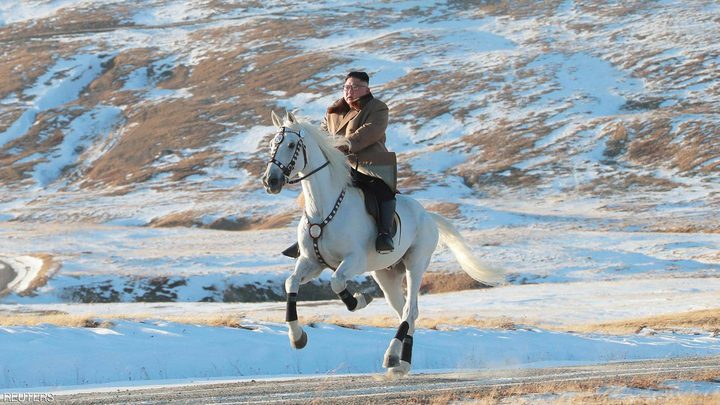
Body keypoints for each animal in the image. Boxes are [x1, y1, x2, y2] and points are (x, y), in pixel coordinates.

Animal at [262, 109, 504, 376]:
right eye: (272, 145)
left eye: (291, 144)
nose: (270, 181)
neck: (323, 208)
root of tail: (428, 216)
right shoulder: (311, 262)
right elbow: (291, 283)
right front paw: (297, 337)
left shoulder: (353, 261)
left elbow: (337, 282)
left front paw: (359, 300)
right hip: (386, 275)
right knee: (406, 313)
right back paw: (402, 363)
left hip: (415, 264)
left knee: (409, 310)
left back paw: (391, 356)